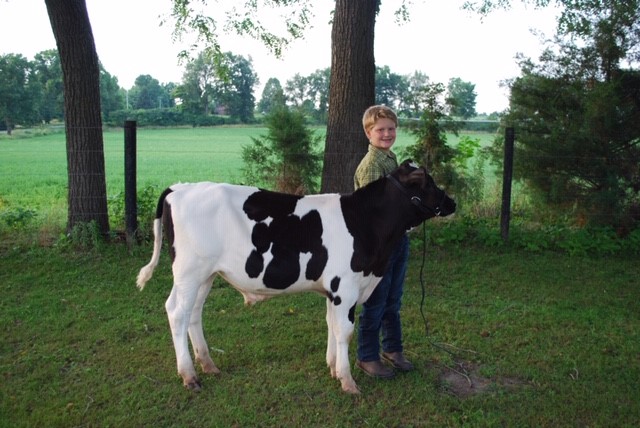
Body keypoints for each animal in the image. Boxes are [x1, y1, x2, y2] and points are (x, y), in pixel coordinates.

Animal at [136, 160, 456, 394]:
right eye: (428, 182)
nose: (452, 202)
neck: (365, 223)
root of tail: (180, 188)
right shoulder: (346, 288)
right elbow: (345, 331)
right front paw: (347, 380)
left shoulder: (334, 290)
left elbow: (331, 325)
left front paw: (332, 368)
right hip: (189, 272)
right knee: (177, 312)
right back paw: (189, 376)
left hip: (206, 275)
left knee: (193, 314)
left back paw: (208, 365)